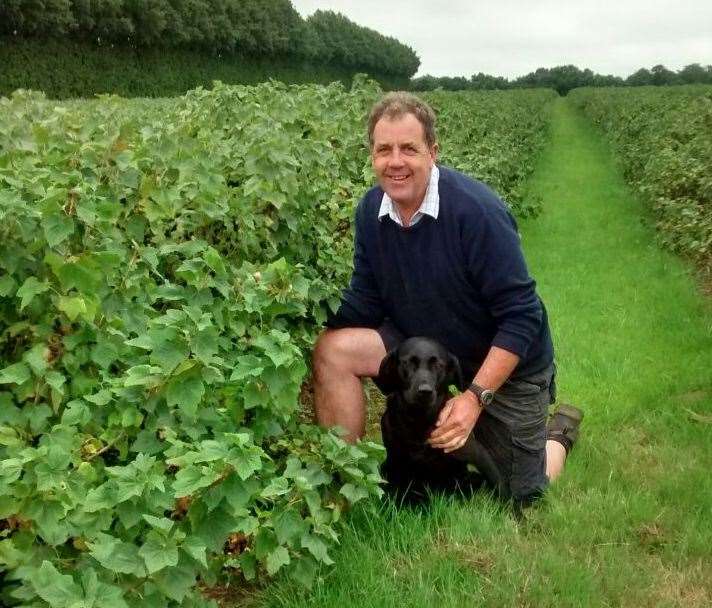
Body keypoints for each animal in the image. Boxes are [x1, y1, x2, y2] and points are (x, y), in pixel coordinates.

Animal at [376, 334, 504, 502]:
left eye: (438, 365)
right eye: (408, 362)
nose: (425, 391)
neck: (420, 420)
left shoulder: (477, 455)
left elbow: (501, 487)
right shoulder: (396, 463)